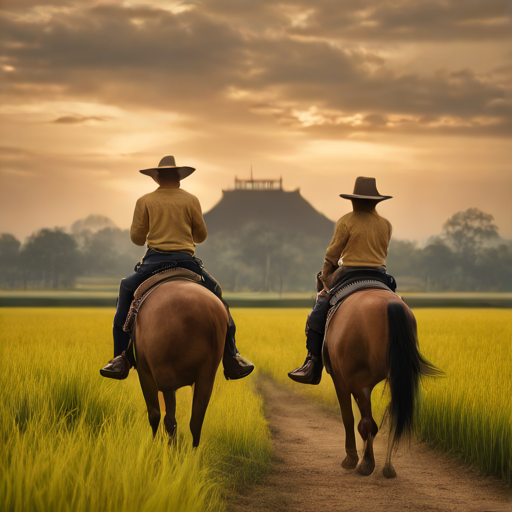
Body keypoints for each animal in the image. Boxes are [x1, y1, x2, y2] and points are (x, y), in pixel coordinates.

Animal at [134, 278, 228, 446]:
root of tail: (208, 311)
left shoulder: (145, 371)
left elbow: (155, 413)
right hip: (205, 378)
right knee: (196, 421)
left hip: (163, 375)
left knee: (166, 418)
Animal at [324, 288, 440, 476]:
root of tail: (392, 306)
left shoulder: (339, 379)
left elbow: (348, 417)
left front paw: (352, 458)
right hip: (398, 377)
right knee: (394, 414)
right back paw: (387, 466)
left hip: (360, 381)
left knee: (367, 422)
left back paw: (366, 462)